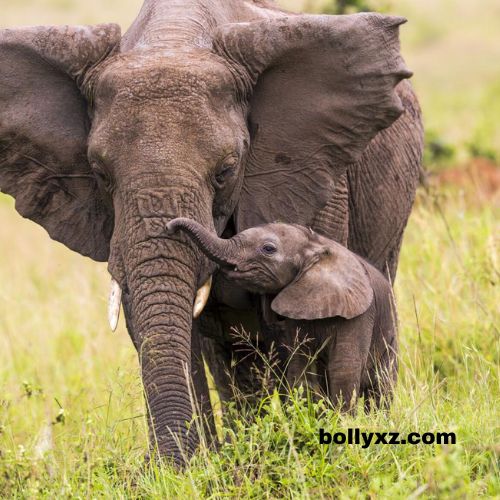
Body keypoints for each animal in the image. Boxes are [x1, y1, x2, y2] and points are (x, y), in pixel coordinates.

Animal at [168, 219, 398, 410]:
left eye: (268, 249)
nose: (170, 227)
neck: (315, 246)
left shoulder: (358, 315)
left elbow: (344, 369)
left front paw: (341, 423)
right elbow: (300, 366)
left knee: (381, 388)